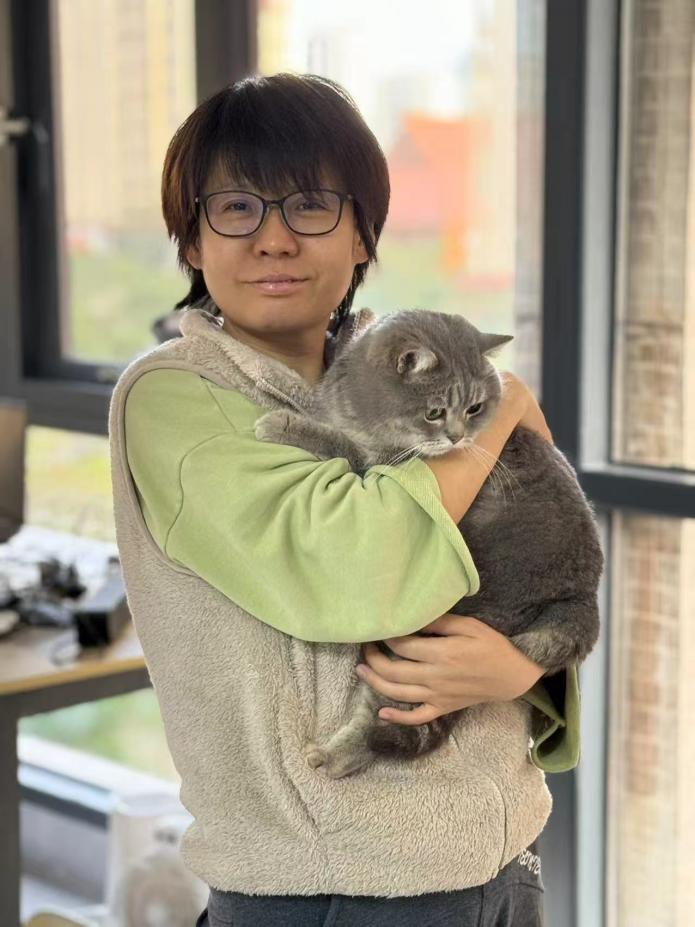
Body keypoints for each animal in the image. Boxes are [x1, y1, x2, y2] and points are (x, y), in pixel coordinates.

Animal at [254, 308, 603, 779]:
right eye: (436, 412)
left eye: (475, 408)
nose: (458, 437)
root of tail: (582, 601)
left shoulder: (379, 471)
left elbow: (339, 444)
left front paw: (282, 422)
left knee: (386, 719)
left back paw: (333, 757)